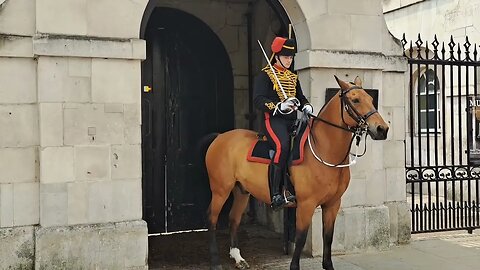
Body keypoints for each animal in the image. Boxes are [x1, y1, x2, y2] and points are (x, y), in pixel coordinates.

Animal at [202, 76, 390, 270]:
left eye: (371, 99)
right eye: (355, 100)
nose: (382, 129)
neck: (324, 150)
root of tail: (220, 137)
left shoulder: (332, 204)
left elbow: (328, 238)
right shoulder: (306, 205)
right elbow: (300, 239)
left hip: (242, 191)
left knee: (233, 219)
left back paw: (238, 258)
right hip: (220, 190)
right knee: (212, 219)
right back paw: (215, 262)